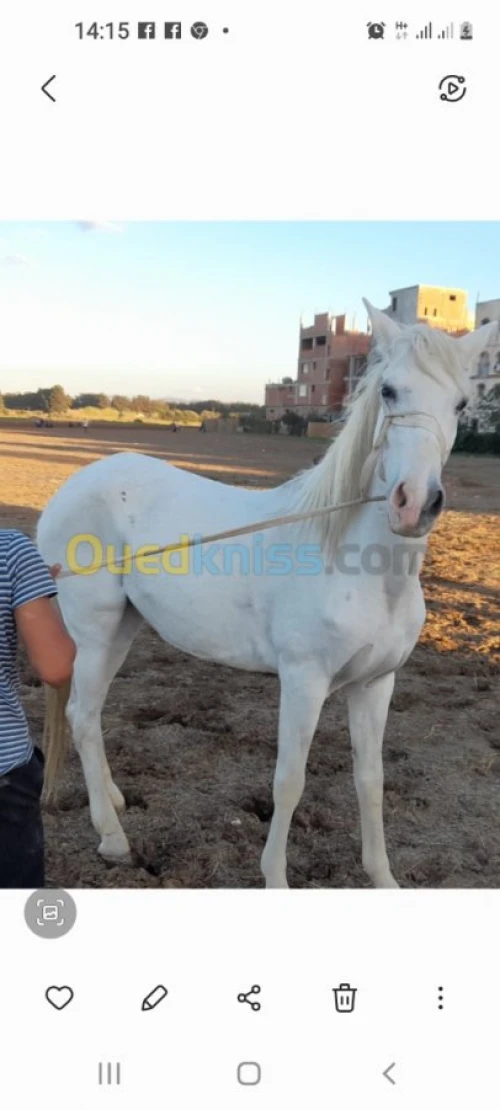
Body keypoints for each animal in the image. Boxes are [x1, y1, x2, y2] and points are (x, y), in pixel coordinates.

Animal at [37, 302, 497, 887]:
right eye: (389, 391)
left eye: (461, 403)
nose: (415, 503)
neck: (359, 566)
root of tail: (72, 487)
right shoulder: (304, 680)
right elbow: (290, 780)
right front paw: (275, 877)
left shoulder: (375, 685)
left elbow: (371, 779)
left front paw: (382, 877)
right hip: (94, 631)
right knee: (81, 716)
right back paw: (113, 838)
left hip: (123, 626)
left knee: (91, 715)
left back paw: (115, 802)